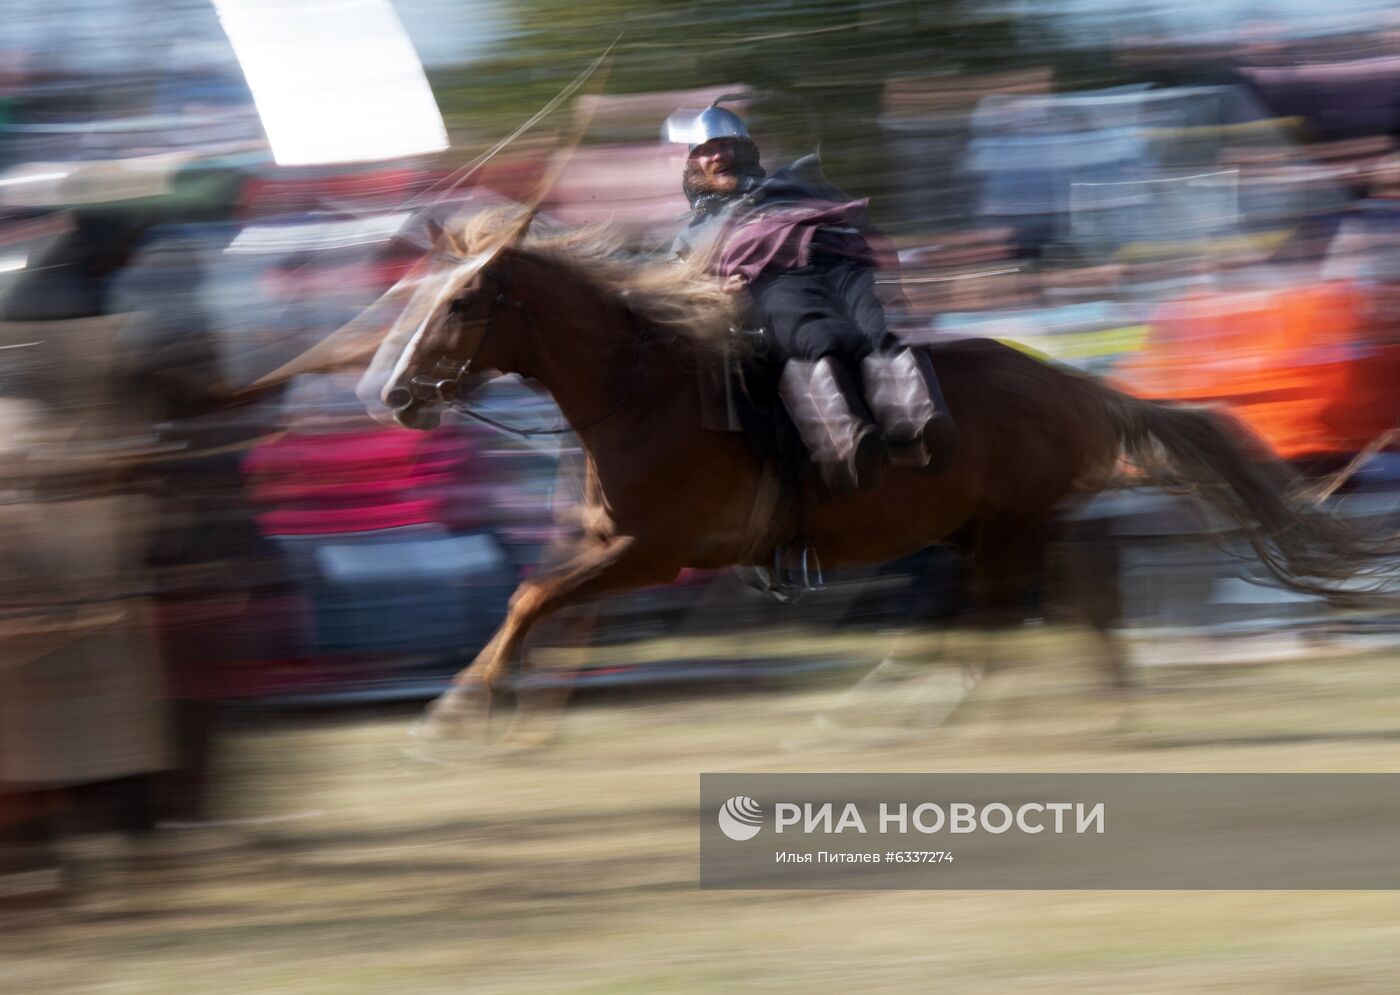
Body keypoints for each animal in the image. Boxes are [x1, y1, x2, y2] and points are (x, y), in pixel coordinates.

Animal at [358, 208, 1388, 738]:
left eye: (465, 301)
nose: (396, 395)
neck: (642, 392)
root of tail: (1072, 380)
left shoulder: (650, 551)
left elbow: (530, 598)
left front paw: (457, 708)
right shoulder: (606, 546)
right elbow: (548, 613)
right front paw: (518, 712)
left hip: (1008, 525)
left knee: (1000, 609)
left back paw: (919, 701)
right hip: (1005, 523)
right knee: (1070, 595)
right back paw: (1088, 706)